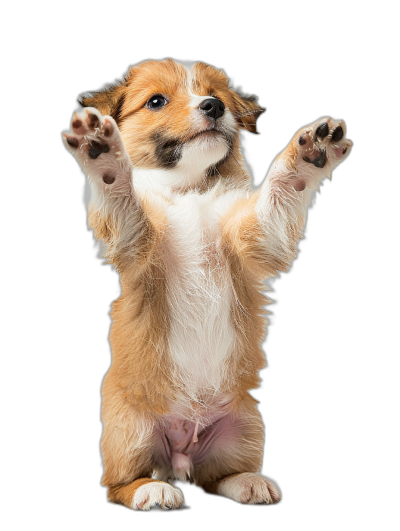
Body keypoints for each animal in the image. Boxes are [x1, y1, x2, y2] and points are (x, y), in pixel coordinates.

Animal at [61, 58, 352, 512]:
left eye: (215, 95)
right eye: (156, 101)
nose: (214, 107)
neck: (189, 189)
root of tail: (180, 452)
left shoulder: (256, 238)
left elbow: (281, 192)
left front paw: (309, 157)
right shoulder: (137, 241)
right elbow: (123, 195)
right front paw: (103, 153)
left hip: (246, 426)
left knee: (215, 477)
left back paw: (248, 483)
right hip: (128, 430)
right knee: (118, 484)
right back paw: (151, 490)